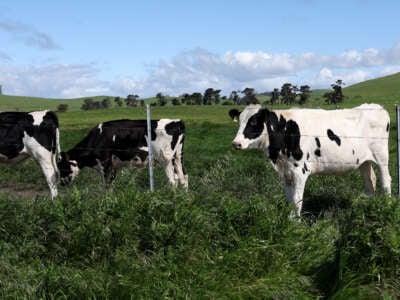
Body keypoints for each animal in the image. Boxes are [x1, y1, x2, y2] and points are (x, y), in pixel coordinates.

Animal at [58, 119, 189, 188]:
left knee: (173, 182)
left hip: (165, 159)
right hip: (178, 157)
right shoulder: (113, 166)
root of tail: (177, 122)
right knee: (183, 177)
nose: (61, 184)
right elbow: (111, 184)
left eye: (62, 167)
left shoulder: (105, 164)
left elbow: (106, 185)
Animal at [230, 104, 392, 217]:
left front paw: (296, 224)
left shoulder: (300, 171)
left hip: (382, 156)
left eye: (253, 122)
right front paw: (290, 220)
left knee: (386, 181)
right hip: (363, 160)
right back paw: (368, 205)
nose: (236, 143)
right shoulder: (286, 172)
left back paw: (387, 205)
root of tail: (377, 107)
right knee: (370, 181)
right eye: (239, 122)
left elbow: (297, 200)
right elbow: (289, 199)